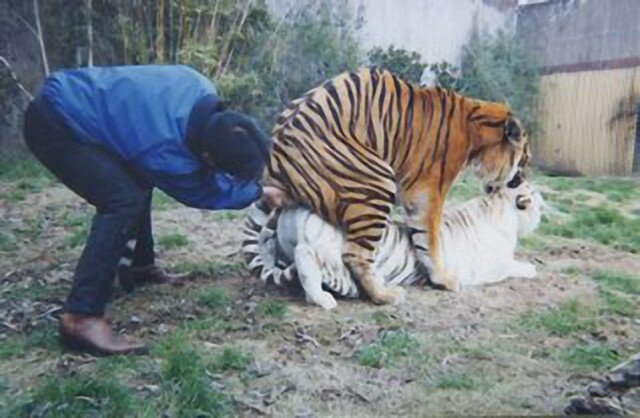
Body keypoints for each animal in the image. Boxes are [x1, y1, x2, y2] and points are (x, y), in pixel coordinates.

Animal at [242, 181, 544, 310]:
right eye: (535, 192)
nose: (544, 202)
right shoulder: (492, 268)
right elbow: (515, 266)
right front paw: (532, 269)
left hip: (280, 240)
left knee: (269, 245)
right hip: (330, 256)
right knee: (305, 256)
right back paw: (323, 298)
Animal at [264, 67, 530, 304]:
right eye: (525, 159)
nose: (523, 180)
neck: (475, 135)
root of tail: (277, 156)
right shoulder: (428, 192)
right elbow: (429, 238)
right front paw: (443, 279)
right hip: (378, 182)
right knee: (355, 254)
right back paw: (384, 295)